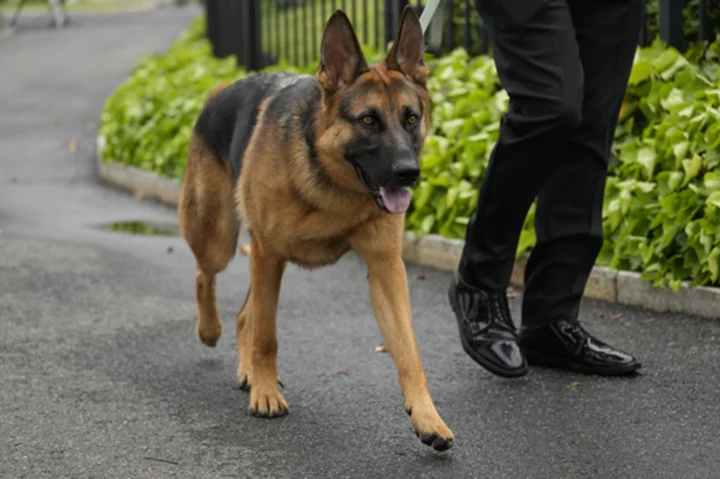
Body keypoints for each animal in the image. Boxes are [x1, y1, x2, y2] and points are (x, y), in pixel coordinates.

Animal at [176, 5, 452, 452]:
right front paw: (266, 395)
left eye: (411, 119)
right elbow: (267, 337)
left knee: (244, 314)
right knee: (206, 276)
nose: (409, 173)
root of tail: (219, 92)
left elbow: (409, 352)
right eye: (369, 120)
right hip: (219, 238)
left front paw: (428, 417)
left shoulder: (386, 269)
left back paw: (245, 367)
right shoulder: (268, 254)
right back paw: (210, 330)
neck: (332, 183)